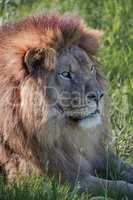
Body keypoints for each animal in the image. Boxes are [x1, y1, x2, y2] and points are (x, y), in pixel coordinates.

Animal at [0, 13, 133, 198]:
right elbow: (114, 186)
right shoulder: (59, 181)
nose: (99, 95)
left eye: (91, 68)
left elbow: (122, 166)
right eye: (65, 74)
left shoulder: (93, 153)